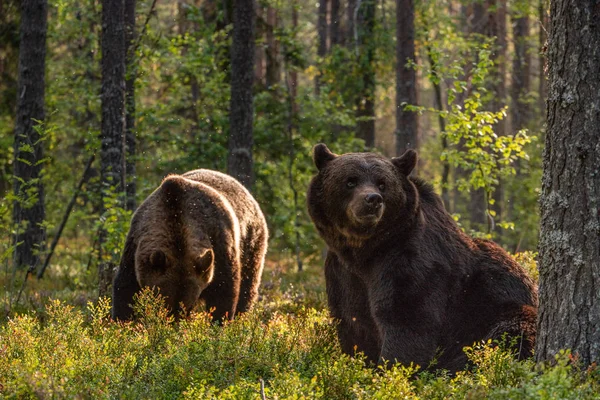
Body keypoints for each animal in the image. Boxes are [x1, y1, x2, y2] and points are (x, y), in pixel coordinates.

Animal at [110, 169, 270, 322]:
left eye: (188, 305)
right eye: (164, 303)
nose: (173, 322)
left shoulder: (219, 241)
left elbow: (224, 289)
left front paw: (220, 323)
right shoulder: (135, 244)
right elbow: (125, 288)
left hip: (251, 241)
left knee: (248, 286)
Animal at [308, 144, 536, 372]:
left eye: (382, 183)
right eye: (350, 181)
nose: (372, 199)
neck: (364, 250)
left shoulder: (410, 262)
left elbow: (407, 321)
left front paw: (392, 370)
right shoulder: (342, 272)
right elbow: (353, 325)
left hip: (497, 310)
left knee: (514, 329)